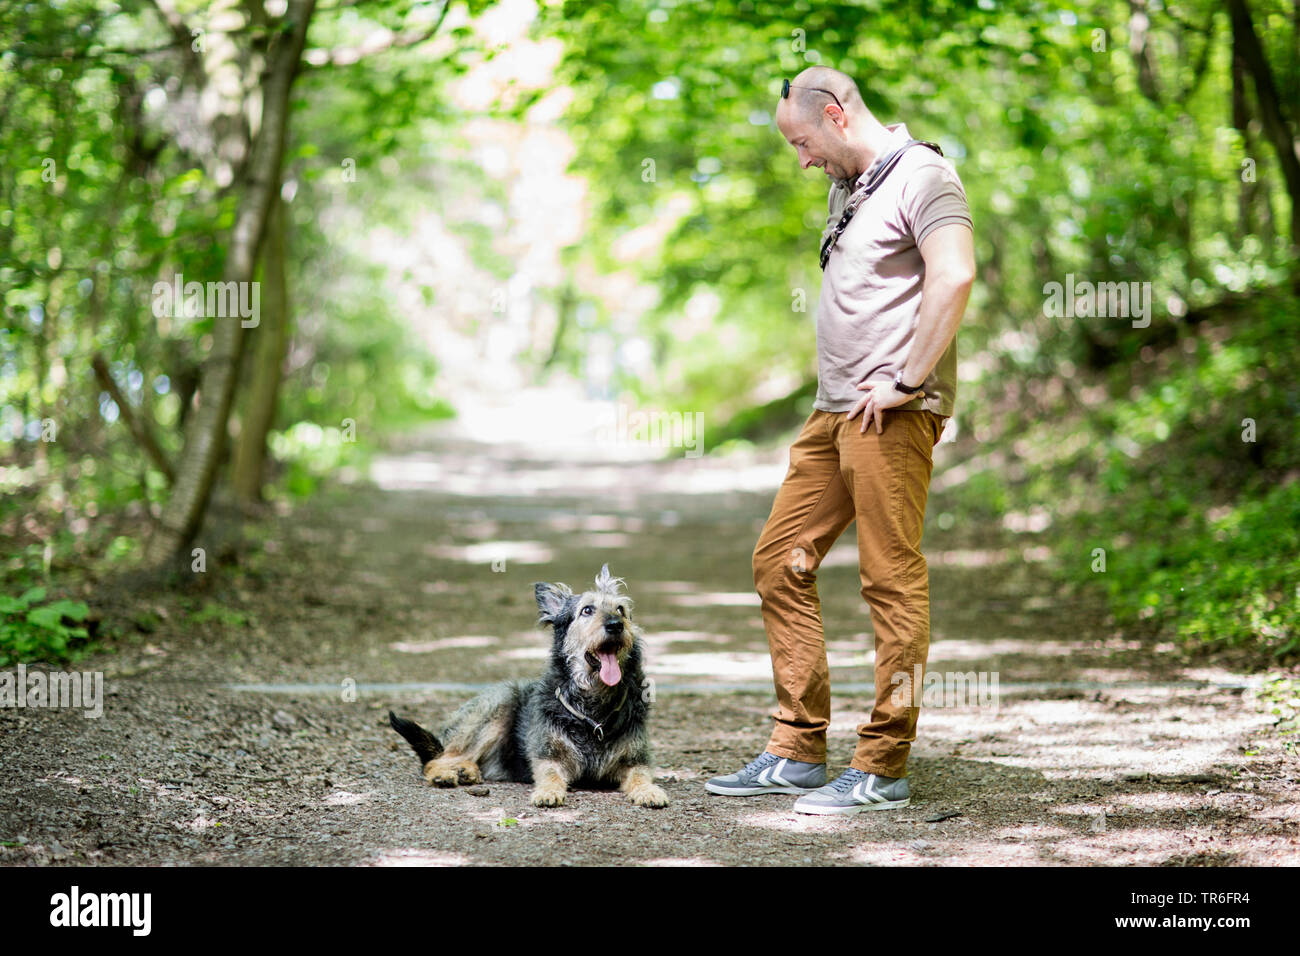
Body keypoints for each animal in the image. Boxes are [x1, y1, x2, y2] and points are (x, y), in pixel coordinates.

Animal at [384, 564, 670, 811]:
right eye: (587, 610)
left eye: (621, 609)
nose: (615, 625)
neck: (593, 707)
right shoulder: (547, 756)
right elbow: (550, 774)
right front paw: (548, 792)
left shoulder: (636, 759)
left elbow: (641, 775)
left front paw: (649, 791)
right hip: (500, 703)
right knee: (438, 759)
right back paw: (446, 773)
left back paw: (467, 771)